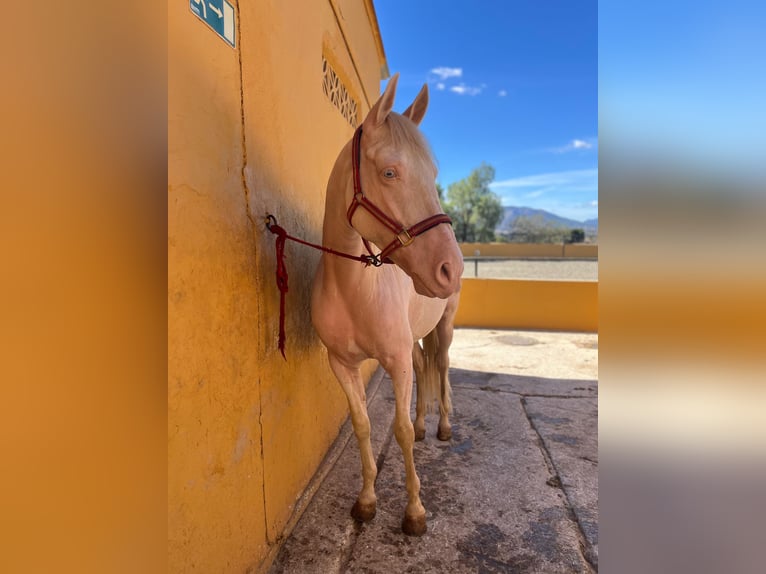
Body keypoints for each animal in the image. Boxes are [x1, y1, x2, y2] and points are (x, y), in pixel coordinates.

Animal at [311, 73, 463, 536]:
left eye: (434, 173)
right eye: (390, 172)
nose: (452, 268)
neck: (353, 288)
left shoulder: (393, 361)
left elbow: (399, 431)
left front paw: (414, 512)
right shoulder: (342, 364)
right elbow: (363, 425)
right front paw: (366, 500)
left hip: (444, 328)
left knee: (441, 367)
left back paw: (443, 426)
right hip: (413, 340)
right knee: (422, 367)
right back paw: (425, 422)